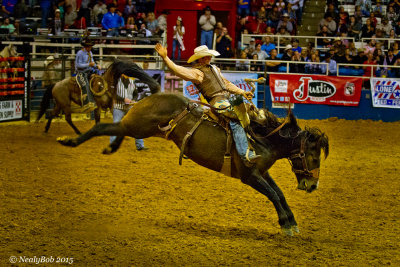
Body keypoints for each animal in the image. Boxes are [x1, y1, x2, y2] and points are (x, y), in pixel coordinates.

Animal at [57, 93, 330, 237]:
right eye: (314, 157)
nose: (313, 185)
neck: (262, 137)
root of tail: (151, 96)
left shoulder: (262, 172)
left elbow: (279, 193)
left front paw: (292, 222)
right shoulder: (249, 175)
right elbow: (273, 195)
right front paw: (286, 225)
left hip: (136, 127)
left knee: (114, 129)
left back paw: (108, 147)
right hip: (135, 125)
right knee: (103, 127)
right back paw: (69, 141)